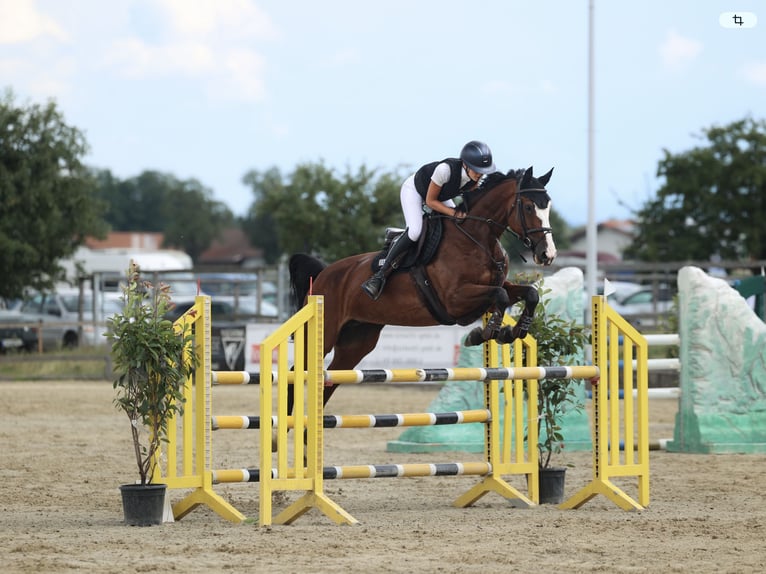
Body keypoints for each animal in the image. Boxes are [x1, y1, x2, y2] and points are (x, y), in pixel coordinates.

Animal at [287, 166, 557, 410]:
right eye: (529, 207)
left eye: (548, 207)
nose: (548, 255)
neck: (477, 239)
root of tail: (323, 273)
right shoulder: (455, 299)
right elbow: (499, 296)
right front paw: (486, 332)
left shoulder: (494, 288)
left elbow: (529, 293)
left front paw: (513, 331)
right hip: (325, 331)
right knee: (296, 372)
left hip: (357, 339)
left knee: (330, 380)